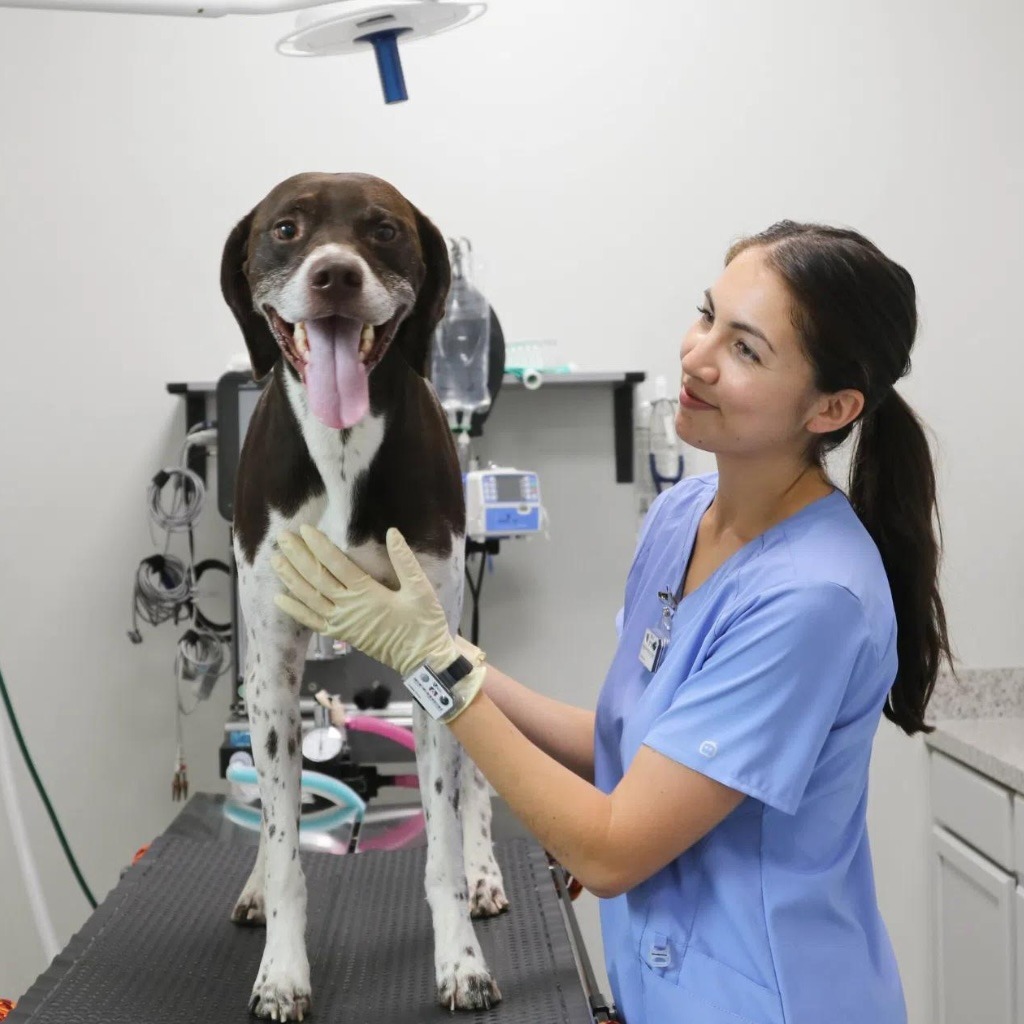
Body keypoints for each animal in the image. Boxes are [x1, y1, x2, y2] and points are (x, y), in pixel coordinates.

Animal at [225, 172, 512, 1019]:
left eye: (383, 230)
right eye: (286, 229)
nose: (335, 276)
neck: (343, 446)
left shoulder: (428, 658)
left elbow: (443, 837)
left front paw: (461, 962)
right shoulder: (274, 673)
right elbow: (283, 840)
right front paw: (282, 972)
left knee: (478, 788)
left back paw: (486, 873)